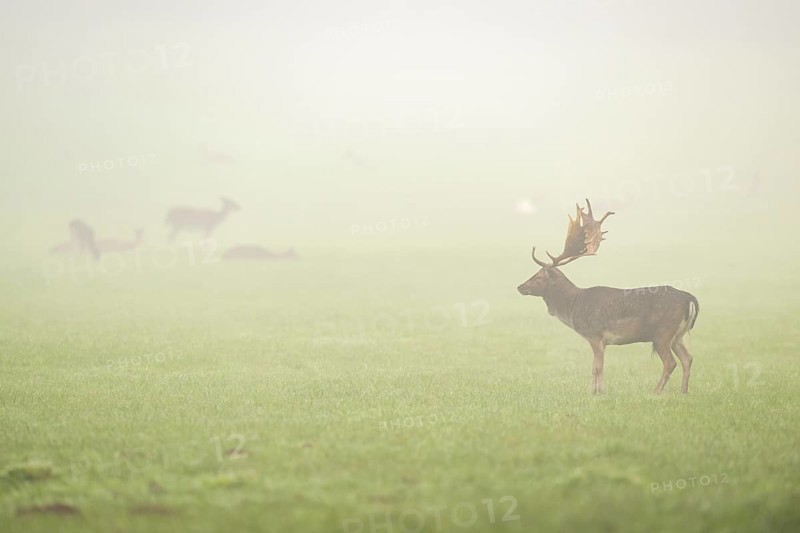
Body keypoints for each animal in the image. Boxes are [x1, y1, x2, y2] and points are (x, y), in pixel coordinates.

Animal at [517, 199, 699, 395]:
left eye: (538, 276)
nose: (520, 287)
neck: (573, 306)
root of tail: (689, 299)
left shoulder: (596, 335)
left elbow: (597, 366)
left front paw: (599, 392)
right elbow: (594, 366)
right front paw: (594, 391)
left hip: (662, 333)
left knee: (670, 363)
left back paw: (656, 392)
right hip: (678, 336)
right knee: (688, 358)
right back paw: (683, 391)